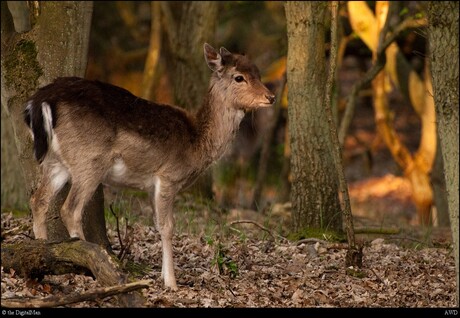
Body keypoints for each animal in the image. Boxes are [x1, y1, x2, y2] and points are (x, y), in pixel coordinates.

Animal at [25, 42, 274, 290]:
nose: (270, 96)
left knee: (39, 200)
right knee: (70, 208)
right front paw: (172, 283)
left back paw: (41, 257)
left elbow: (157, 224)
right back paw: (86, 264)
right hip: (89, 160)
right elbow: (168, 226)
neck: (196, 143)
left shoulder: (151, 186)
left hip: (55, 162)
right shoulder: (168, 176)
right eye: (239, 77)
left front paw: (164, 277)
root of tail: (39, 101)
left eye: (259, 73)